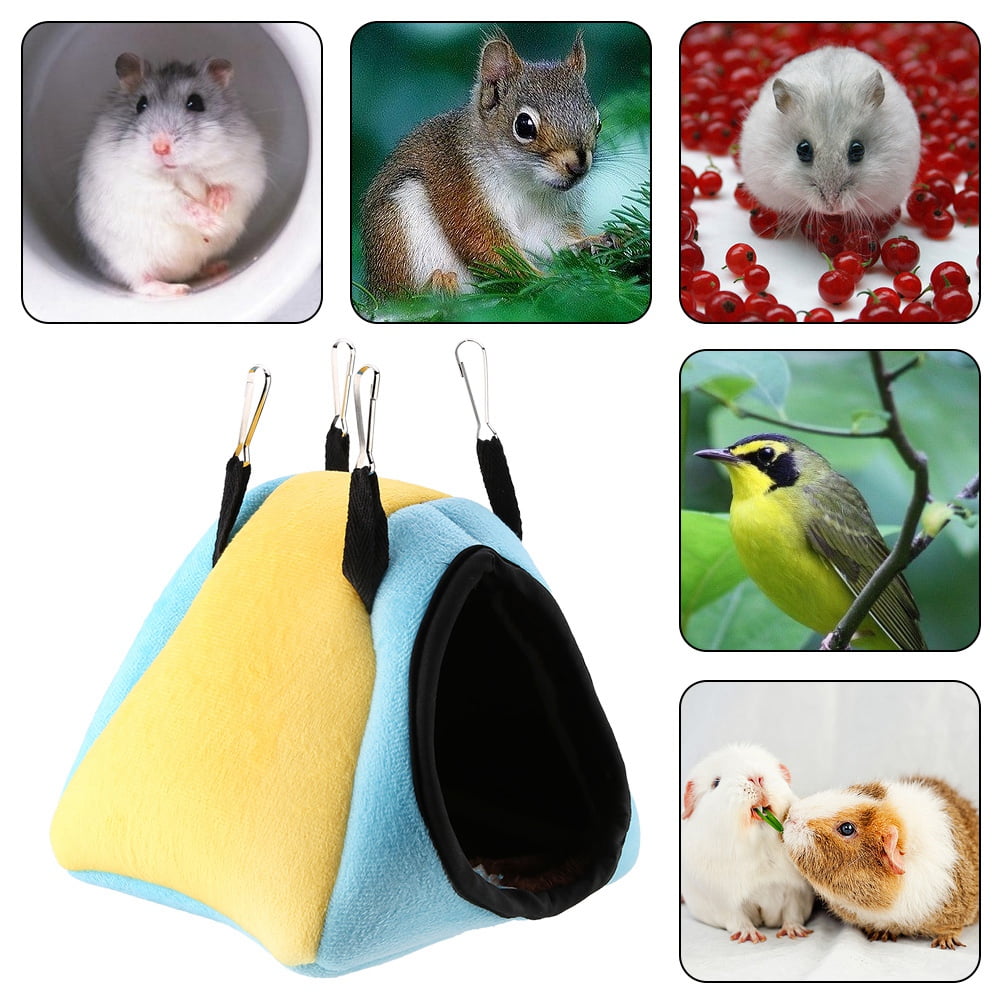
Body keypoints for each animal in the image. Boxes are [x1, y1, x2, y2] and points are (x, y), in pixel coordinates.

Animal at [76, 53, 267, 296]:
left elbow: (229, 187)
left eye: (196, 103)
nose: (160, 148)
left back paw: (217, 268)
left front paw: (218, 207)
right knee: (141, 282)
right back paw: (177, 289)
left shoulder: (246, 170)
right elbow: (179, 204)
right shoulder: (144, 190)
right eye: (141, 104)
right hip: (126, 258)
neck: (182, 170)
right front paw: (214, 223)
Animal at [681, 743, 815, 943]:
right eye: (716, 782)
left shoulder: (796, 892)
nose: (756, 778)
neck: (761, 848)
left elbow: (792, 913)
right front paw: (751, 936)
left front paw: (795, 932)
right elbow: (738, 919)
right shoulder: (725, 901)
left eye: (768, 768)